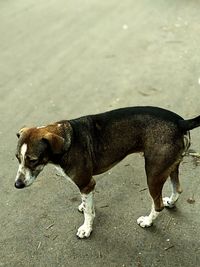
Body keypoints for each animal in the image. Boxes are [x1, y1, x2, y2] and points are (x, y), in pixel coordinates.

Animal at [14, 106, 200, 239]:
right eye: (17, 158)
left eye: (33, 160)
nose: (17, 185)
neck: (66, 140)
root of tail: (180, 121)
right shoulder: (88, 186)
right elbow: (88, 205)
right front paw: (85, 207)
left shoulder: (86, 183)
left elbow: (88, 212)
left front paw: (86, 229)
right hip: (169, 167)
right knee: (177, 188)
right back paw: (171, 202)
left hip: (153, 174)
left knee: (157, 204)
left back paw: (147, 221)